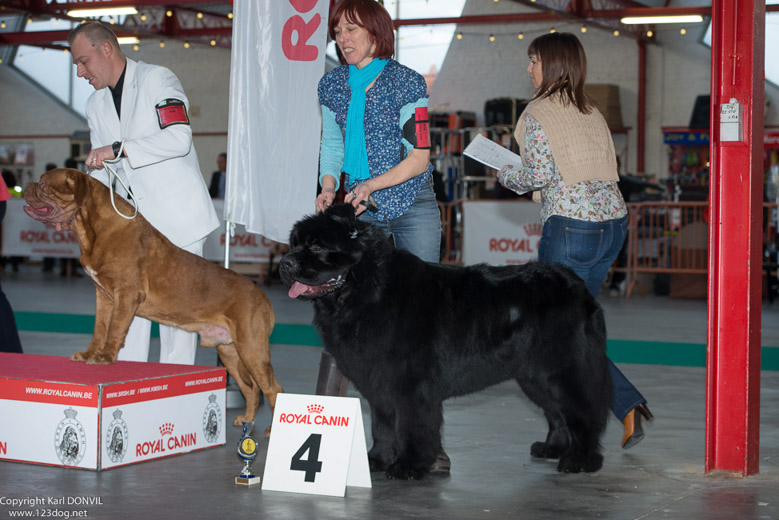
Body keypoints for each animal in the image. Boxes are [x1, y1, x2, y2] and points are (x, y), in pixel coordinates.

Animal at [24, 169, 284, 432]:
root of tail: (261, 295)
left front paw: (105, 358)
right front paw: (89, 354)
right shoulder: (103, 297)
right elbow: (100, 328)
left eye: (44, 185)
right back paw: (247, 420)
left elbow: (114, 329)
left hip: (252, 348)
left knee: (273, 388)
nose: (27, 186)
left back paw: (272, 429)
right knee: (251, 388)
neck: (92, 228)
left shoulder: (126, 294)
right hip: (229, 351)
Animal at [282, 204, 616, 480]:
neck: (367, 289)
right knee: (556, 411)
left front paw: (409, 466)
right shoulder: (378, 381)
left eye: (317, 245)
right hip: (534, 375)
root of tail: (578, 286)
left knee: (583, 410)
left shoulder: (410, 384)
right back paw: (553, 448)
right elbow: (382, 425)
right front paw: (376, 460)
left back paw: (581, 460)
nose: (285, 262)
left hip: (563, 369)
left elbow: (412, 425)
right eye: (294, 243)